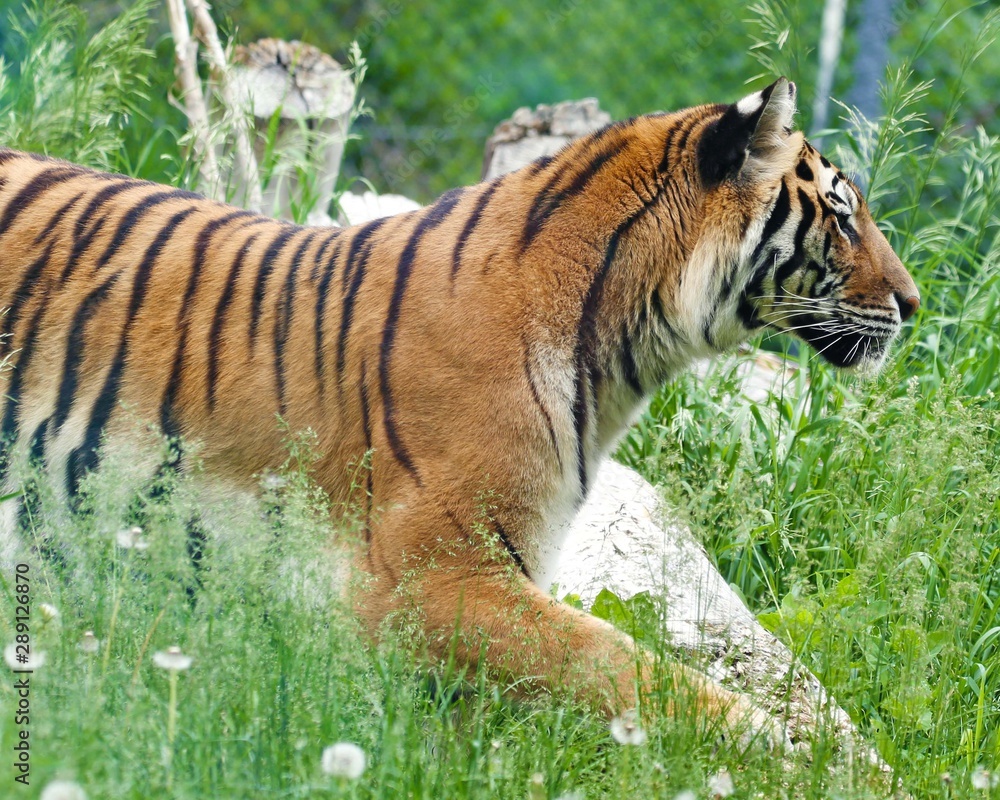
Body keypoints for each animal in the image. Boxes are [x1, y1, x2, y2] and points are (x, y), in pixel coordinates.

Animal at [0, 77, 917, 744]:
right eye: (842, 215)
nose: (912, 304)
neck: (628, 341)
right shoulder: (435, 579)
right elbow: (629, 667)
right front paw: (797, 757)